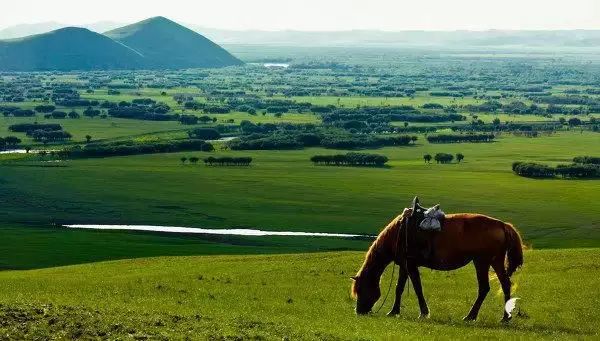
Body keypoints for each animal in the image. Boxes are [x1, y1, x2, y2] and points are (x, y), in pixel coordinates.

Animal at [350, 198, 524, 320]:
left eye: (361, 289)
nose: (359, 311)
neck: (399, 233)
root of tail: (502, 225)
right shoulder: (404, 265)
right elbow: (399, 288)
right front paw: (393, 312)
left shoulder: (411, 265)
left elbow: (417, 288)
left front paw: (423, 313)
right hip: (495, 261)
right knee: (505, 285)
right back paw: (504, 317)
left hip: (482, 262)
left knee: (484, 288)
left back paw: (471, 316)